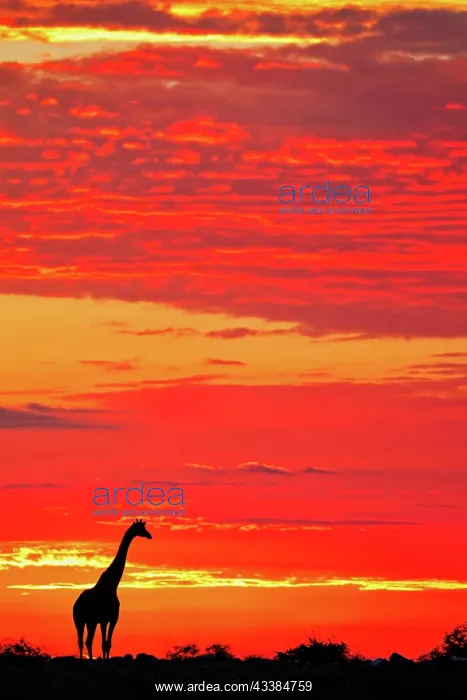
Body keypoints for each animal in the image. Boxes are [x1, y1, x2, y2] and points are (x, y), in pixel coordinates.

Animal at [72, 519, 152, 659]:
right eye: (141, 528)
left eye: (144, 528)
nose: (150, 535)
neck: (112, 586)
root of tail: (75, 605)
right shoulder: (108, 619)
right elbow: (105, 643)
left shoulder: (108, 619)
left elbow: (106, 643)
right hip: (84, 621)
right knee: (85, 641)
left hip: (86, 622)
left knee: (84, 641)